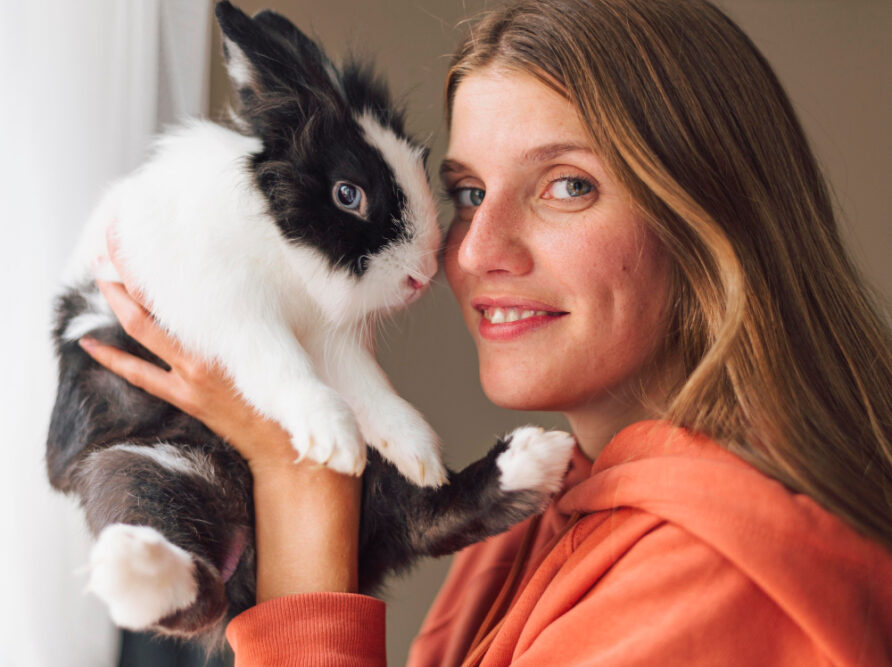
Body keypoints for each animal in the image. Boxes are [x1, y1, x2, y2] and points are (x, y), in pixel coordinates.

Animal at [45, 0, 576, 644]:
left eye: (419, 164)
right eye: (348, 194)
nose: (422, 273)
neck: (278, 240)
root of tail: (248, 582)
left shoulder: (335, 340)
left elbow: (372, 390)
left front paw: (417, 451)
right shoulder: (230, 310)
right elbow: (280, 364)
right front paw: (335, 438)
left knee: (428, 515)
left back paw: (533, 457)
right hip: (140, 463)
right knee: (188, 582)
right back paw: (129, 566)